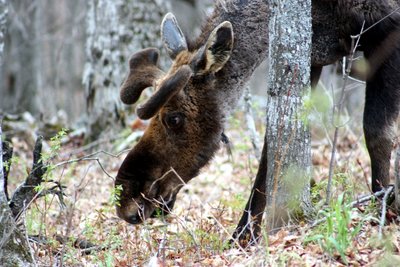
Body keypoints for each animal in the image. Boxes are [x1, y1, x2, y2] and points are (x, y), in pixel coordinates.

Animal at [114, 0, 398, 245]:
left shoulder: (387, 30)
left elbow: (377, 134)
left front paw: (383, 212)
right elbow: (271, 151)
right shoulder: (311, 58)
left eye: (174, 118)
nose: (126, 200)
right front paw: (242, 238)